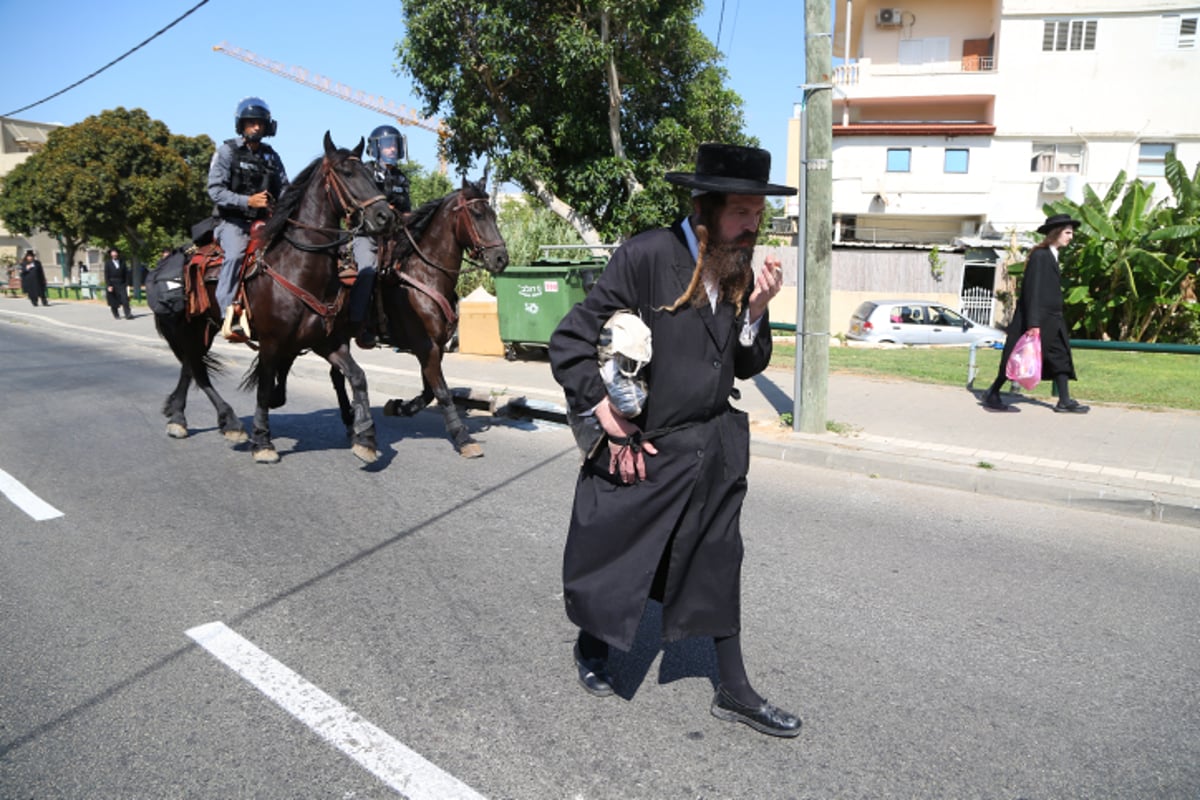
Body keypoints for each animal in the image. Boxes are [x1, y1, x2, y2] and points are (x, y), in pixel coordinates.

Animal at [152, 133, 396, 462]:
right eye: (347, 173)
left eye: (372, 176)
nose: (385, 216)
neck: (298, 267)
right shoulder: (271, 343)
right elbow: (264, 388)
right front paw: (263, 441)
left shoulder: (326, 341)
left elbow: (357, 376)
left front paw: (366, 438)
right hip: (186, 328)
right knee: (197, 369)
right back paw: (226, 421)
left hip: (204, 329)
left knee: (192, 368)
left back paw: (181, 416)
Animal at [333, 178, 511, 460]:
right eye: (477, 214)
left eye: (493, 214)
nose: (501, 258)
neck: (425, 274)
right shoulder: (424, 346)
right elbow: (442, 392)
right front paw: (463, 437)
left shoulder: (434, 347)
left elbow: (429, 391)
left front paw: (399, 407)